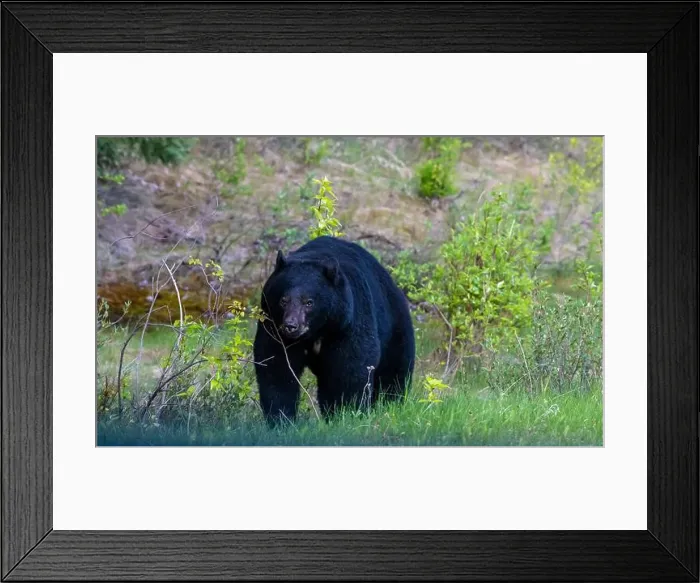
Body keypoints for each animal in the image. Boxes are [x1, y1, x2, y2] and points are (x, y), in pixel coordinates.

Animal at [253, 235, 415, 425]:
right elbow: (276, 365)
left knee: (394, 372)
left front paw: (347, 412)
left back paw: (390, 405)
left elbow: (351, 367)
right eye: (283, 300)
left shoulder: (347, 324)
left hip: (395, 328)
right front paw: (280, 418)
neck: (317, 331)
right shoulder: (273, 325)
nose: (290, 326)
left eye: (309, 302)